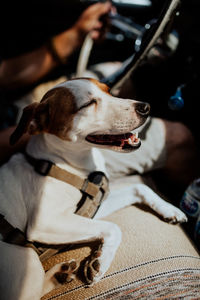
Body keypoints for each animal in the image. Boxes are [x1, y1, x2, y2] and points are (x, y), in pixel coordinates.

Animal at [0, 78, 188, 298]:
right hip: (27, 257)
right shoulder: (45, 222)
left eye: (109, 90)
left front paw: (171, 209)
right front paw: (101, 262)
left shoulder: (91, 208)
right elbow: (114, 227)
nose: (145, 107)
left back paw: (60, 274)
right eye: (87, 104)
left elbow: (139, 188)